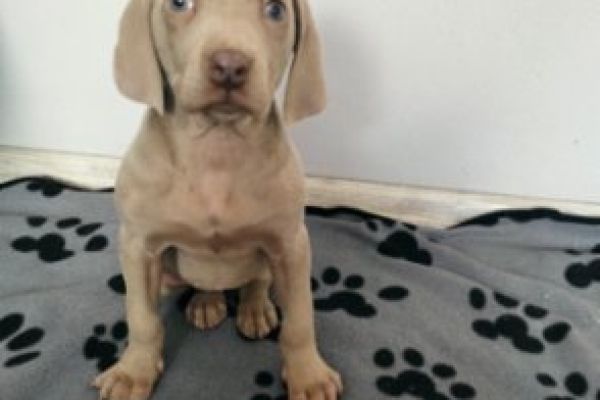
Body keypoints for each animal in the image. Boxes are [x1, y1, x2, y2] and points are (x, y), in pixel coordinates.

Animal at [91, 0, 340, 400]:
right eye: (179, 4)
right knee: (201, 284)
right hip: (168, 276)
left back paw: (255, 308)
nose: (230, 66)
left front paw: (308, 374)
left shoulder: (292, 244)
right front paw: (133, 371)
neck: (217, 147)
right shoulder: (137, 246)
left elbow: (301, 318)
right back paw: (207, 303)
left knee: (257, 280)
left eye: (276, 10)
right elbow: (142, 318)